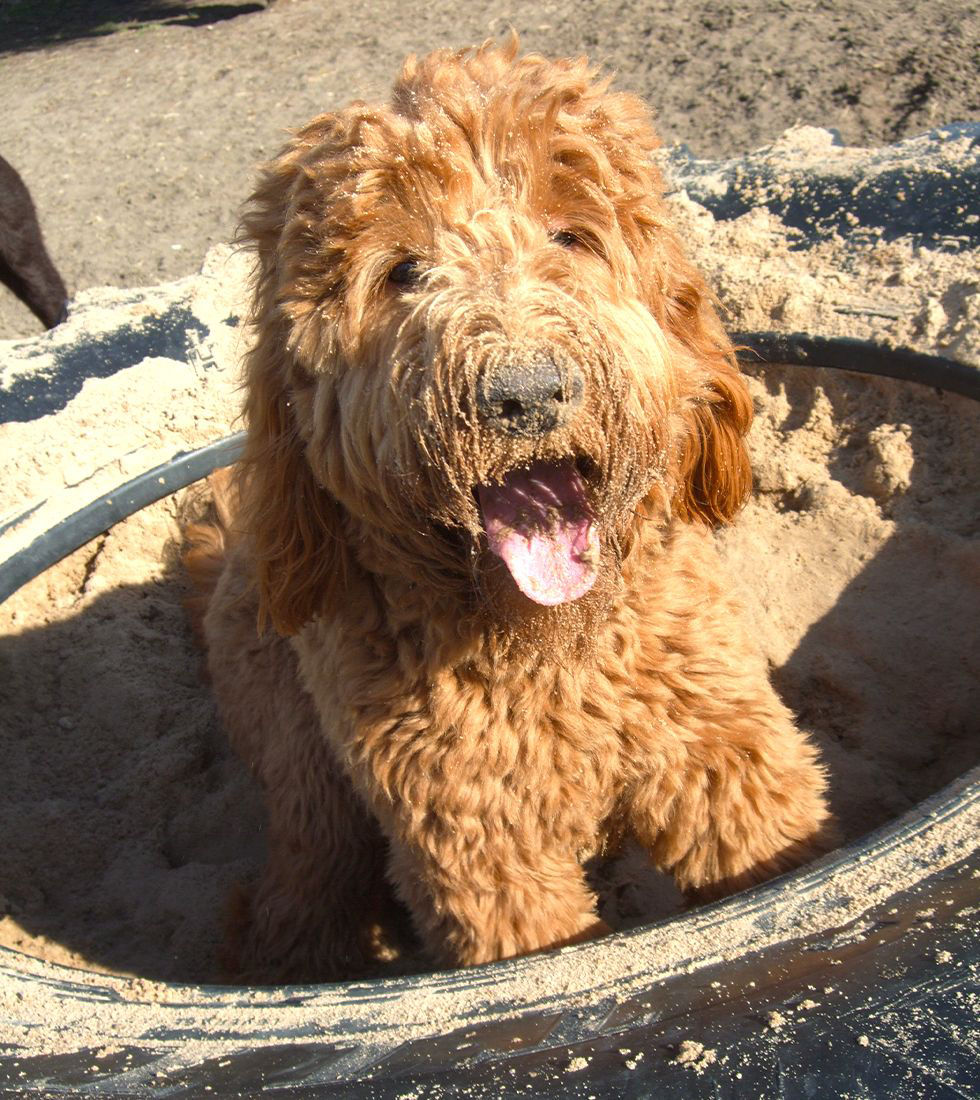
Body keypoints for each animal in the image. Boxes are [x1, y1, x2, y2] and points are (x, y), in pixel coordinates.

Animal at [188, 38, 840, 981]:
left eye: (572, 236)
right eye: (401, 271)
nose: (526, 394)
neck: (555, 655)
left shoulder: (725, 760)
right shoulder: (483, 855)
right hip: (305, 772)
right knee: (297, 894)